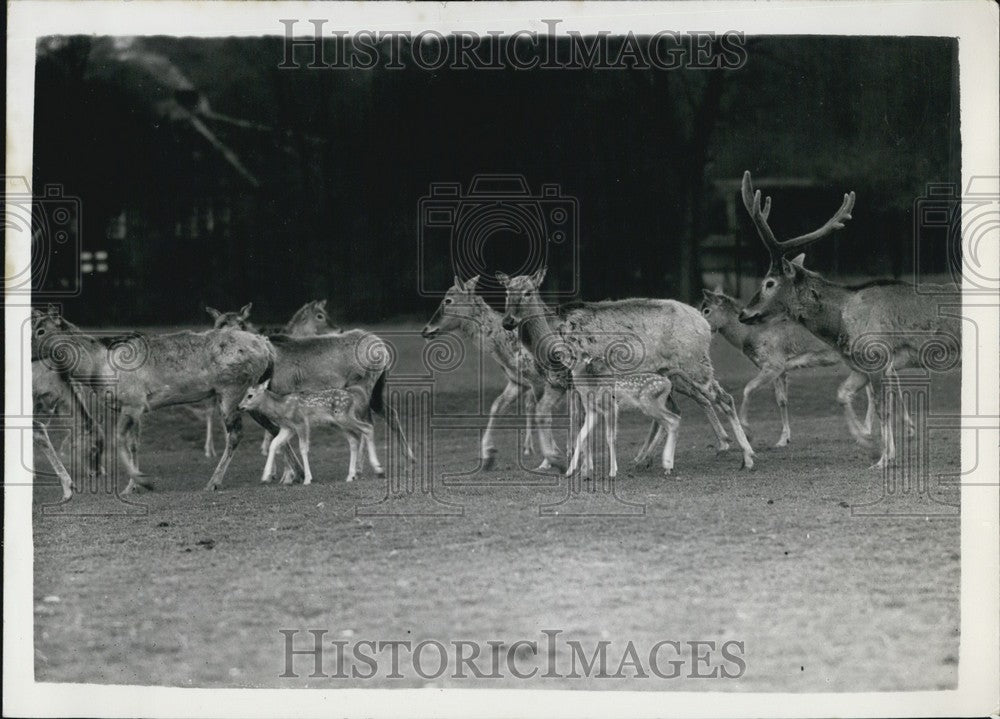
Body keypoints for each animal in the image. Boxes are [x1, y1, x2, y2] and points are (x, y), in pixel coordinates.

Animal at [238, 380, 380, 484]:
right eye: (244, 393)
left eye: (250, 395)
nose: (239, 407)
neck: (281, 408)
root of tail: (353, 396)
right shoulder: (288, 428)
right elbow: (274, 444)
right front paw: (265, 475)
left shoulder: (301, 423)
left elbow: (303, 448)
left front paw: (307, 479)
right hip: (339, 423)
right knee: (354, 439)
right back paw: (351, 476)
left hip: (343, 416)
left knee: (367, 427)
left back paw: (378, 468)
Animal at [420, 275, 544, 469]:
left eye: (448, 300)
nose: (426, 330)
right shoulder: (519, 382)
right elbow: (496, 405)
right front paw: (488, 454)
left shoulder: (539, 379)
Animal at [497, 268, 755, 472]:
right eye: (506, 292)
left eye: (528, 292)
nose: (508, 321)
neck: (549, 346)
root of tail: (704, 323)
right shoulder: (565, 385)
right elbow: (573, 423)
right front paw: (575, 464)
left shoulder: (574, 383)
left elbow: (573, 423)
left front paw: (580, 465)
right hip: (671, 373)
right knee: (678, 408)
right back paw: (646, 458)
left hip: (695, 364)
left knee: (723, 398)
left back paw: (747, 456)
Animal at [699, 286, 878, 447]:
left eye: (706, 310)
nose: (700, 327)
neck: (749, 335)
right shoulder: (781, 370)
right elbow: (782, 400)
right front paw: (783, 440)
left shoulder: (774, 364)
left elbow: (748, 388)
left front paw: (749, 432)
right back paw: (865, 430)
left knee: (870, 392)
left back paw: (865, 431)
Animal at [737, 170, 959, 468]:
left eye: (769, 282)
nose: (744, 314)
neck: (842, 322)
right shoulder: (859, 364)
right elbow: (842, 394)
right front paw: (868, 442)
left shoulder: (877, 356)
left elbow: (882, 408)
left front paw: (882, 458)